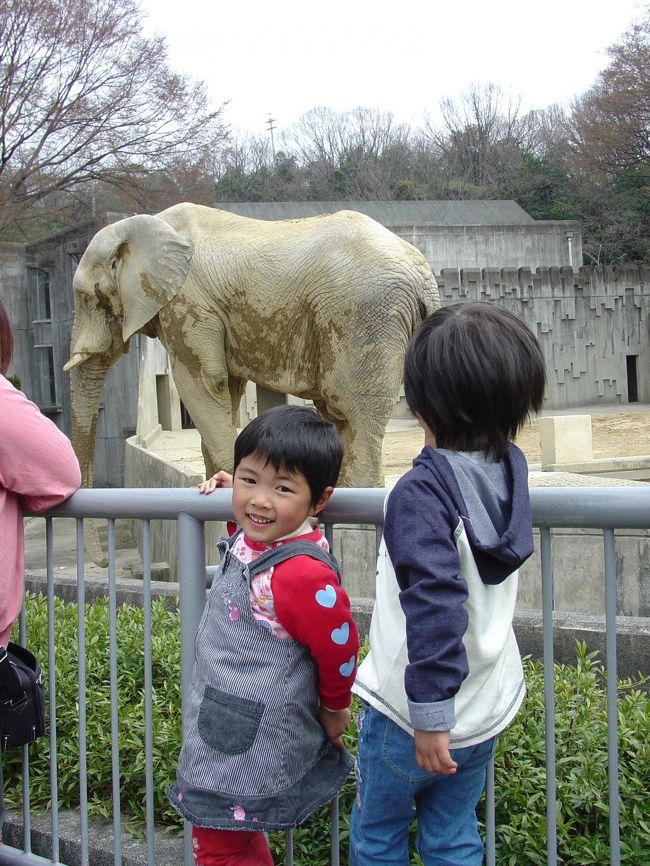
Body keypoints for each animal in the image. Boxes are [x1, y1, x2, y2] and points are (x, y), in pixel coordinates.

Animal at [66, 202, 438, 516]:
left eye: (85, 298)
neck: (140, 226)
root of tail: (425, 275)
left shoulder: (188, 303)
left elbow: (202, 383)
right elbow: (225, 388)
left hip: (364, 315)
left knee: (349, 409)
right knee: (339, 415)